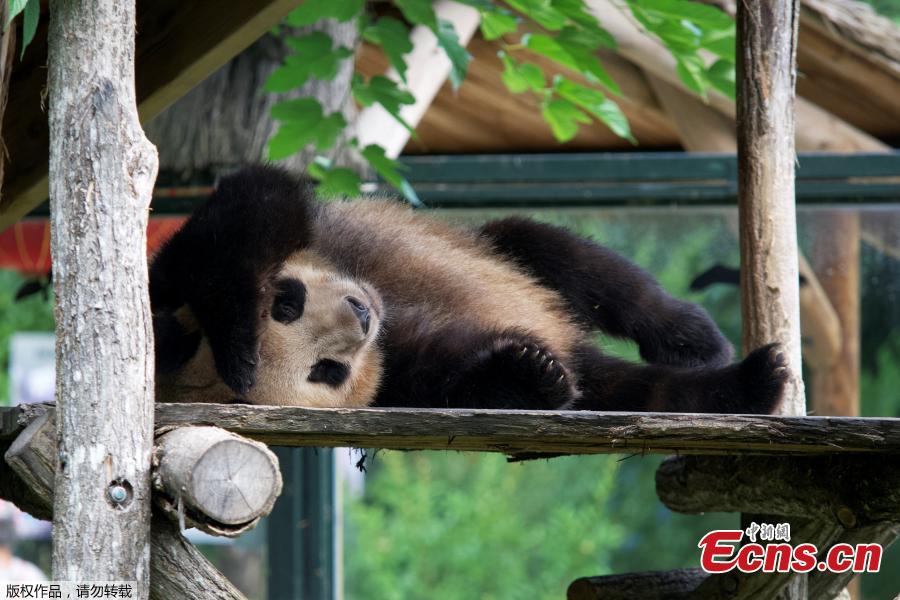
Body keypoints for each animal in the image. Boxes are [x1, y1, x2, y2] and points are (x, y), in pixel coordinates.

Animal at [150, 165, 787, 413]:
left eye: (288, 302)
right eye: (325, 371)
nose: (361, 317)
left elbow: (253, 205)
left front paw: (236, 340)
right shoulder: (398, 377)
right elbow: (455, 378)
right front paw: (529, 374)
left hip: (503, 253)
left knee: (569, 259)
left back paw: (696, 339)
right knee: (638, 391)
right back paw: (750, 383)